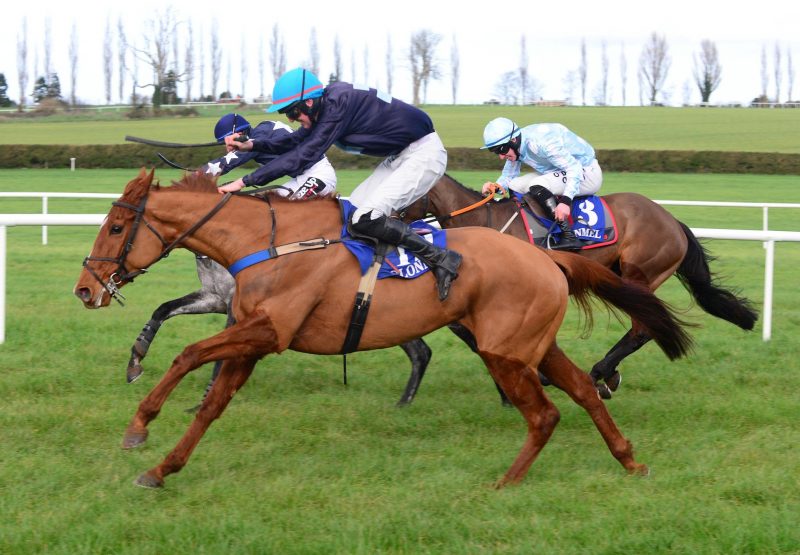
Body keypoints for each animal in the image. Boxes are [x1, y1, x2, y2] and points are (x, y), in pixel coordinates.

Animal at [72, 170, 692, 490]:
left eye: (118, 226)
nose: (84, 288)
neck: (268, 241)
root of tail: (548, 256)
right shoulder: (251, 337)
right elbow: (210, 400)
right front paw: (161, 466)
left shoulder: (268, 333)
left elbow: (189, 355)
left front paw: (139, 426)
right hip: (531, 346)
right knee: (581, 389)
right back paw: (628, 458)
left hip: (506, 349)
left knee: (545, 413)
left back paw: (507, 481)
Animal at [404, 176, 760, 398]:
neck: (486, 225)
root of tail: (673, 222)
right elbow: (467, 333)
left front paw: (536, 379)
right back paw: (608, 375)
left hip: (640, 271)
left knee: (642, 328)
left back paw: (600, 373)